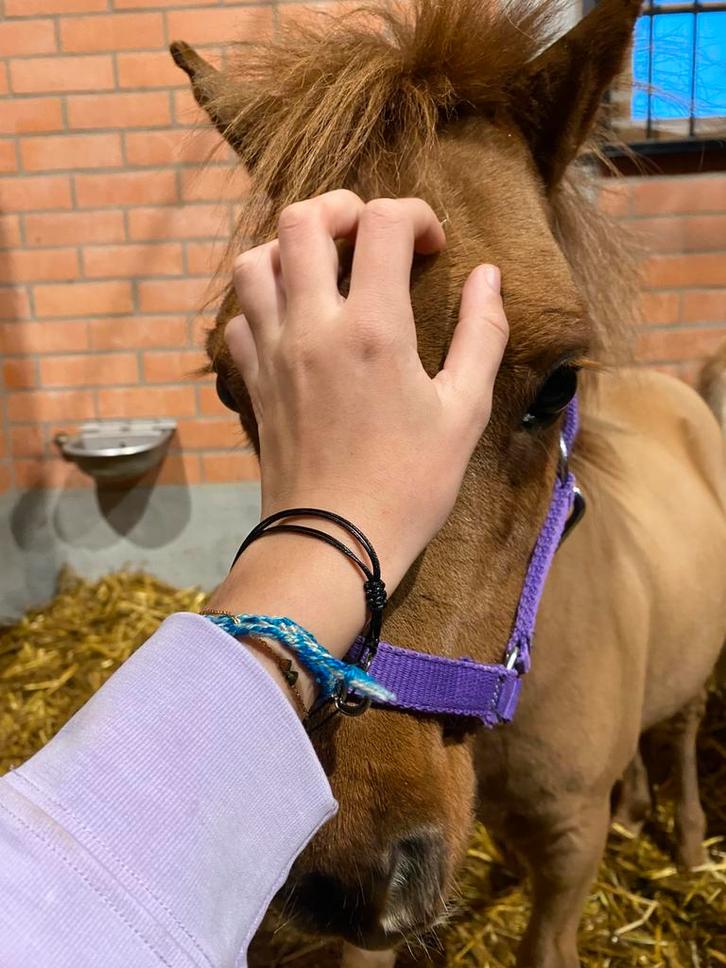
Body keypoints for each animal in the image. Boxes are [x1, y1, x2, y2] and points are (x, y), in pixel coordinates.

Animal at [170, 1, 726, 965]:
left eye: (561, 384)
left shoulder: (569, 851)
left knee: (685, 729)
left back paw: (690, 845)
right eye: (231, 387)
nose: (341, 863)